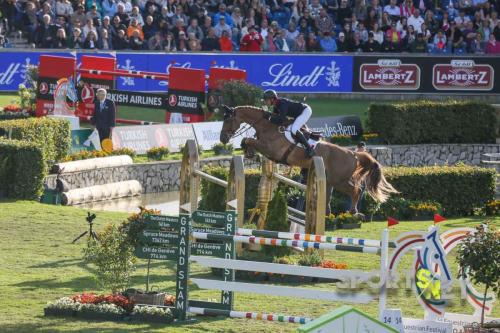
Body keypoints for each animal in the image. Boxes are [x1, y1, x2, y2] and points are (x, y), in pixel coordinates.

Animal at [220, 106, 398, 215]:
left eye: (227, 120)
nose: (222, 139)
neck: (267, 126)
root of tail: (353, 154)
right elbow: (248, 141)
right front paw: (248, 152)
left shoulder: (271, 149)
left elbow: (248, 140)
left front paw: (248, 150)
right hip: (331, 180)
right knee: (341, 193)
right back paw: (329, 215)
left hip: (338, 180)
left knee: (355, 190)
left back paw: (354, 212)